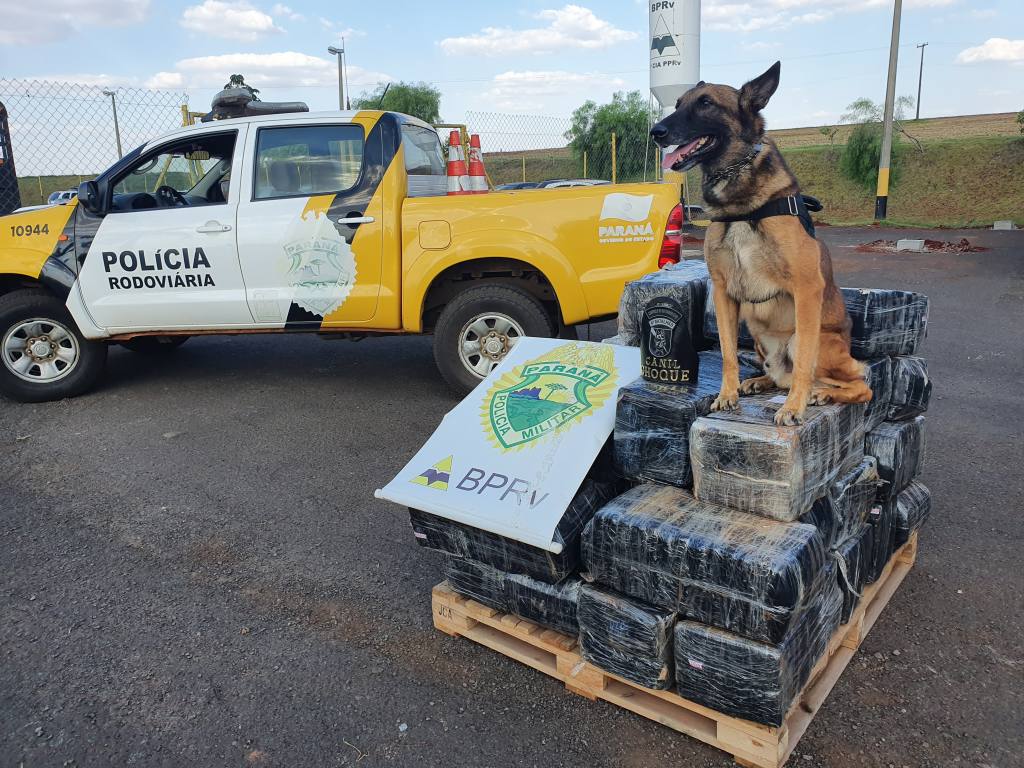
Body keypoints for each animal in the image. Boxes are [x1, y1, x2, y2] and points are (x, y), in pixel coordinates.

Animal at [651, 60, 868, 428]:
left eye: (706, 103)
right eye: (678, 104)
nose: (656, 132)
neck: (741, 205)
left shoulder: (807, 287)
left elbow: (805, 364)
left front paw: (794, 407)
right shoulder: (723, 292)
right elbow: (727, 353)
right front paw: (727, 394)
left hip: (809, 343)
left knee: (859, 384)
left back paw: (820, 394)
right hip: (758, 338)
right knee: (780, 376)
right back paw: (759, 381)